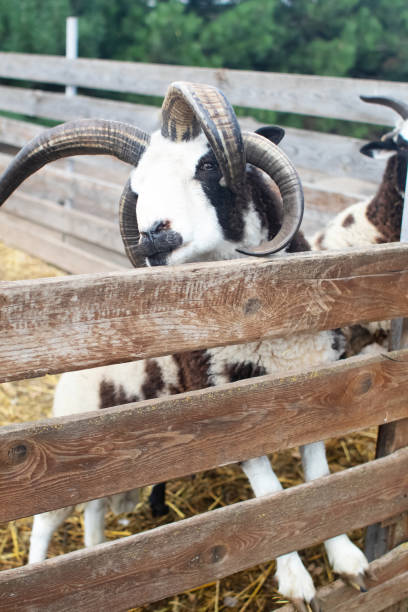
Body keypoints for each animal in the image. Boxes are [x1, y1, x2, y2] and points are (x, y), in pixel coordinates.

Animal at [0, 82, 370, 612]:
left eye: (209, 164)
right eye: (137, 186)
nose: (155, 233)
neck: (266, 310)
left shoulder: (317, 394)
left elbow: (320, 479)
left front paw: (348, 561)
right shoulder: (227, 410)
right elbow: (270, 493)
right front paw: (297, 582)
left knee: (93, 509)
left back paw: (95, 553)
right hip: (68, 442)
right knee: (44, 521)